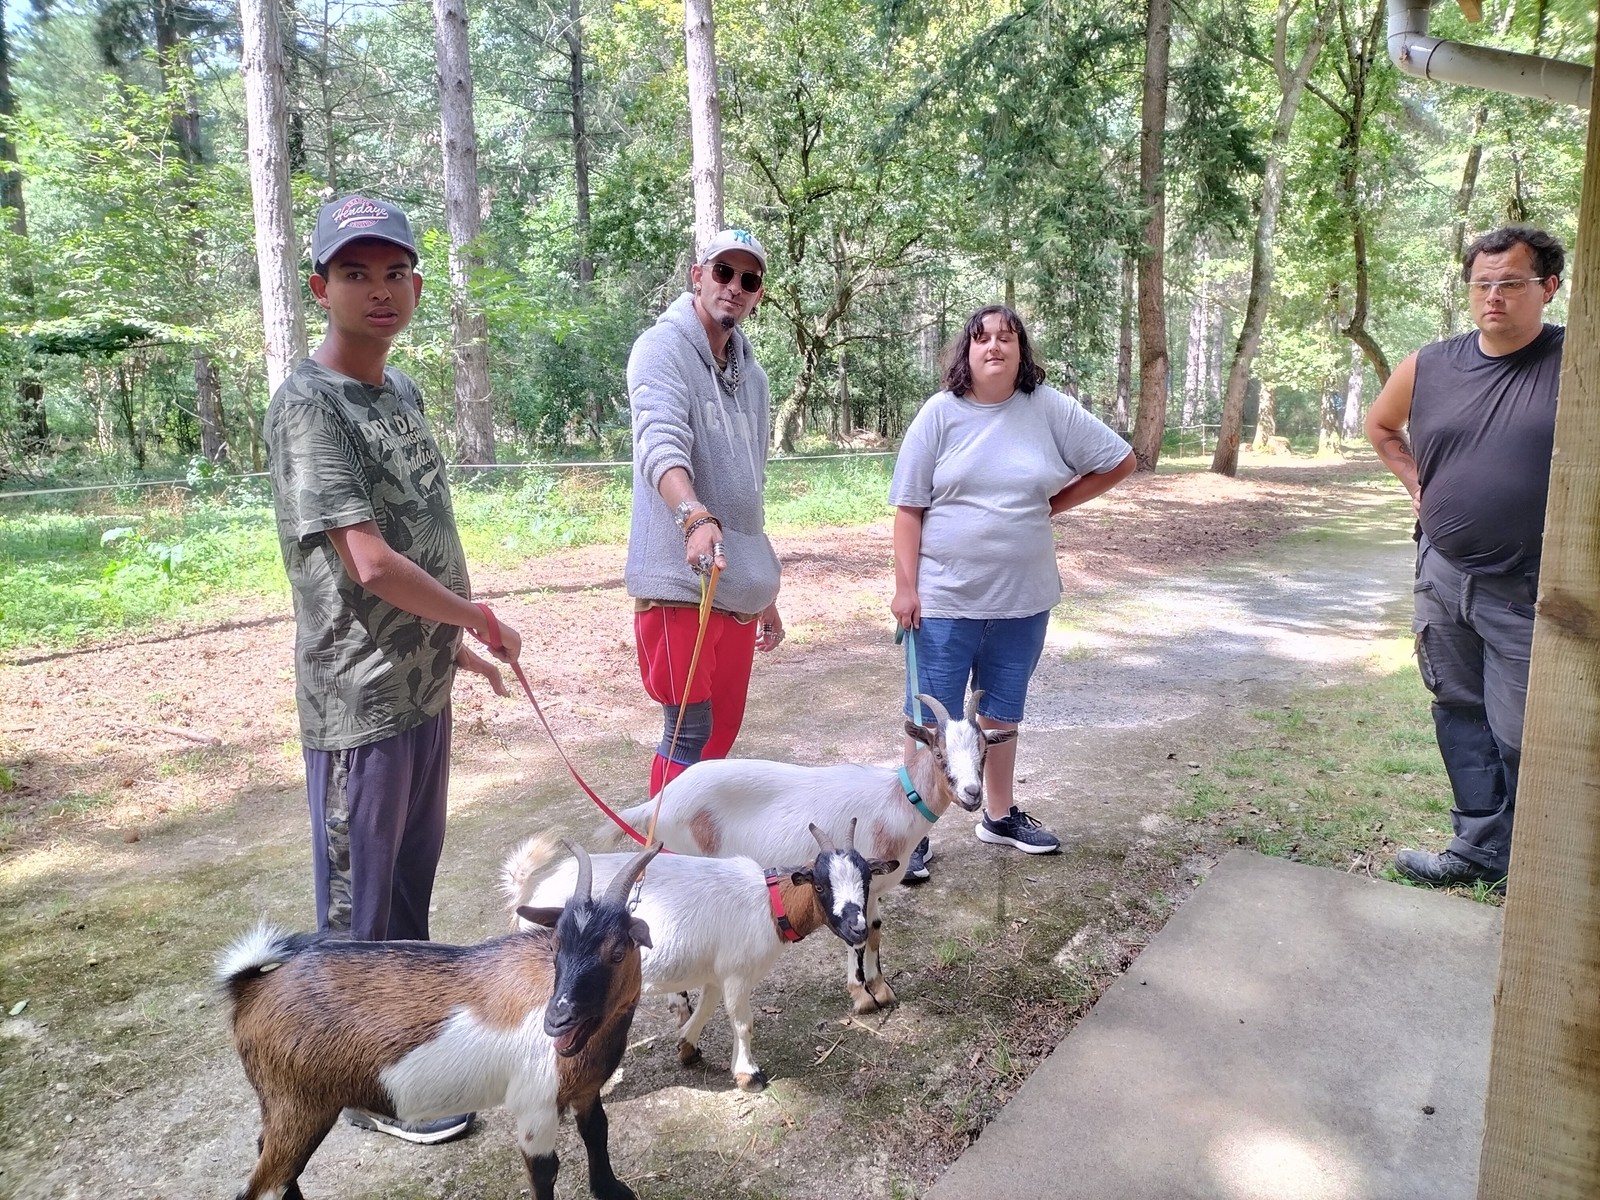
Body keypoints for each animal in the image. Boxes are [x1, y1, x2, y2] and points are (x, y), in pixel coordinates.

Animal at [217, 838, 656, 1200]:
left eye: (618, 951)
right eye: (555, 946)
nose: (558, 1019)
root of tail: (252, 987)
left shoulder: (585, 1089)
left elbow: (596, 1132)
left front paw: (611, 1191)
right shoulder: (536, 1103)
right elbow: (544, 1171)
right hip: (298, 1104)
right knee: (263, 1186)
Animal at [611, 694, 1011, 1017]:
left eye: (984, 752)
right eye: (940, 754)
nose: (973, 794)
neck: (896, 800)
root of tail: (657, 804)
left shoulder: (872, 886)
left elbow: (874, 930)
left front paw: (881, 989)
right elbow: (857, 936)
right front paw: (862, 997)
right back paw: (680, 1005)